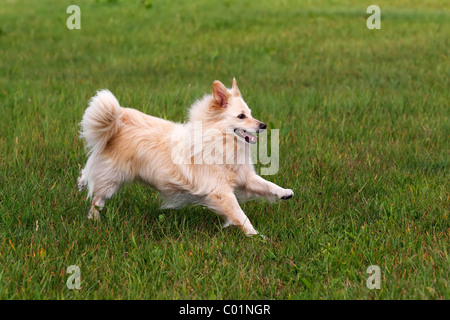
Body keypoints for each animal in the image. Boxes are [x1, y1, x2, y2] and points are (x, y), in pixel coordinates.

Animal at [77, 79, 294, 236]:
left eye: (251, 113)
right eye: (241, 116)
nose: (263, 125)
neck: (221, 141)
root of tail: (117, 126)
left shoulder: (244, 178)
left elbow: (266, 184)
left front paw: (284, 192)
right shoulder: (221, 192)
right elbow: (240, 215)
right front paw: (256, 235)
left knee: (89, 170)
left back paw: (81, 182)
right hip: (112, 180)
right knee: (97, 198)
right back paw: (93, 220)